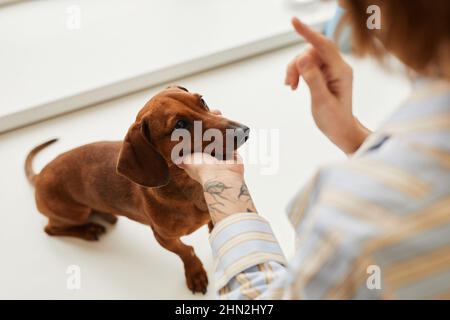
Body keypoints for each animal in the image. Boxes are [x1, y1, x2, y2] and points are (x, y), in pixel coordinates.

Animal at [24, 86, 250, 294]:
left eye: (202, 101)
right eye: (179, 125)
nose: (244, 131)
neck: (187, 188)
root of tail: (40, 175)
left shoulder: (214, 218)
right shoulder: (163, 238)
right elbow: (186, 251)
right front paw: (195, 273)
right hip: (76, 212)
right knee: (50, 229)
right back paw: (89, 230)